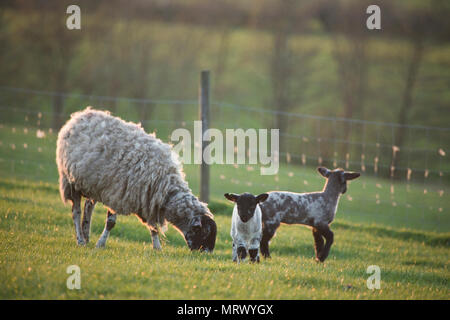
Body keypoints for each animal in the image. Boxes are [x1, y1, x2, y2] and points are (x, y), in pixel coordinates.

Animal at [55, 107, 217, 252]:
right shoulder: (117, 193)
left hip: (93, 185)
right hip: (71, 181)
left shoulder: (148, 200)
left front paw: (157, 248)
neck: (165, 188)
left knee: (88, 207)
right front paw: (100, 244)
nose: (207, 253)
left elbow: (153, 227)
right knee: (76, 212)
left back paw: (86, 235)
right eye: (205, 232)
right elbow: (111, 223)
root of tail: (79, 115)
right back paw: (80, 240)